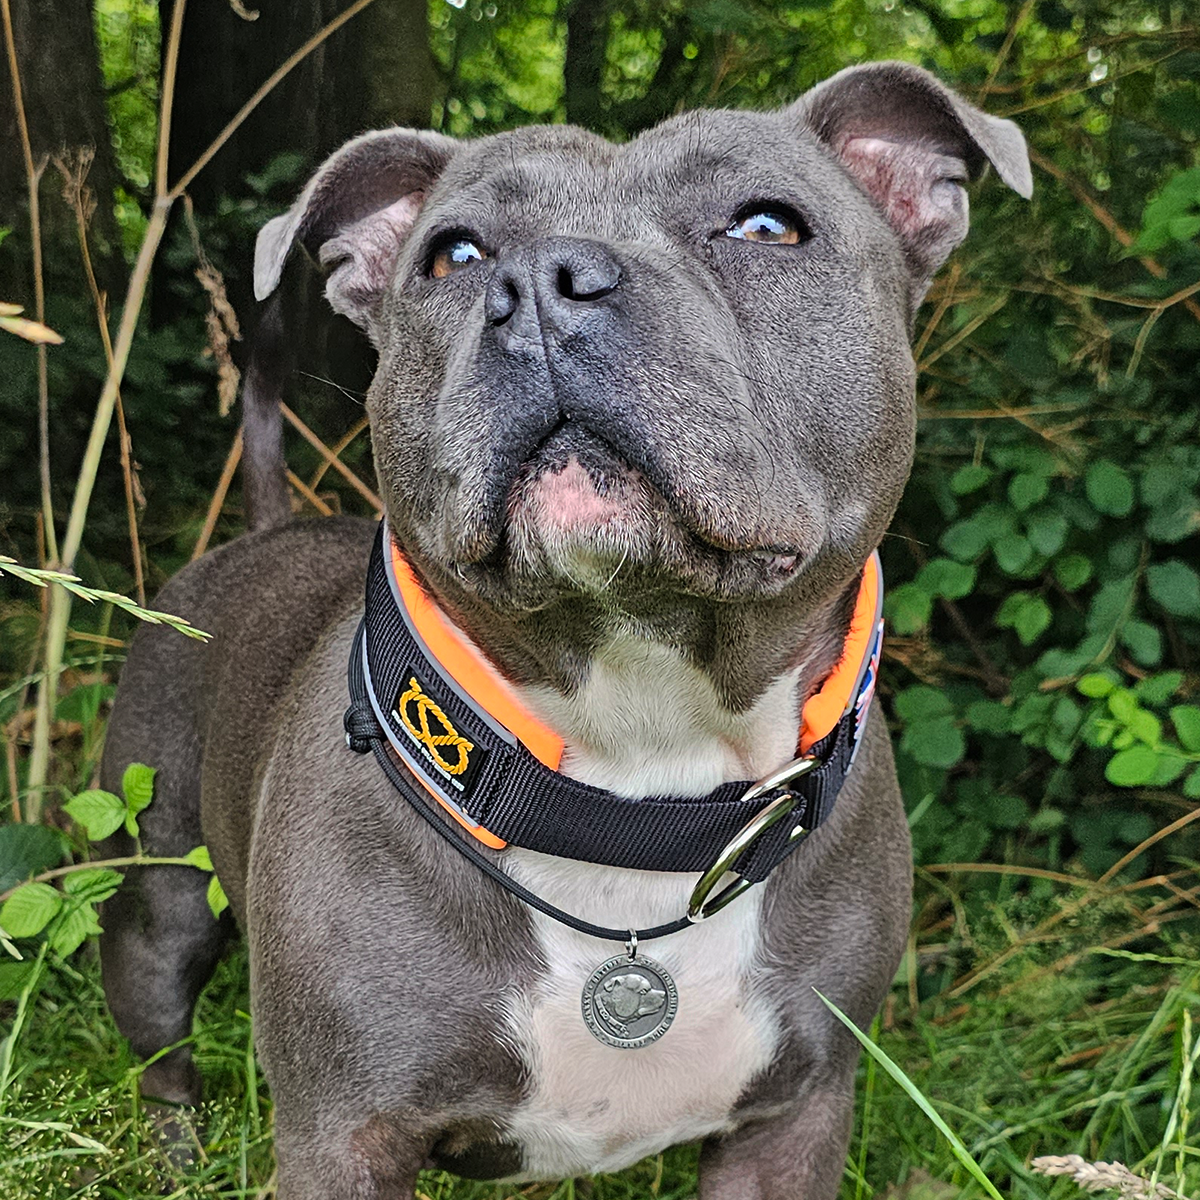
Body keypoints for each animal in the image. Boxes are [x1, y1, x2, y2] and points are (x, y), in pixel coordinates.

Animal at [98, 63, 1027, 1200]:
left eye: (768, 225)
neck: (638, 769)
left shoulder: (793, 1119)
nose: (542, 281)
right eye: (454, 255)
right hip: (157, 894)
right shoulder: (345, 1134)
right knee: (162, 1043)